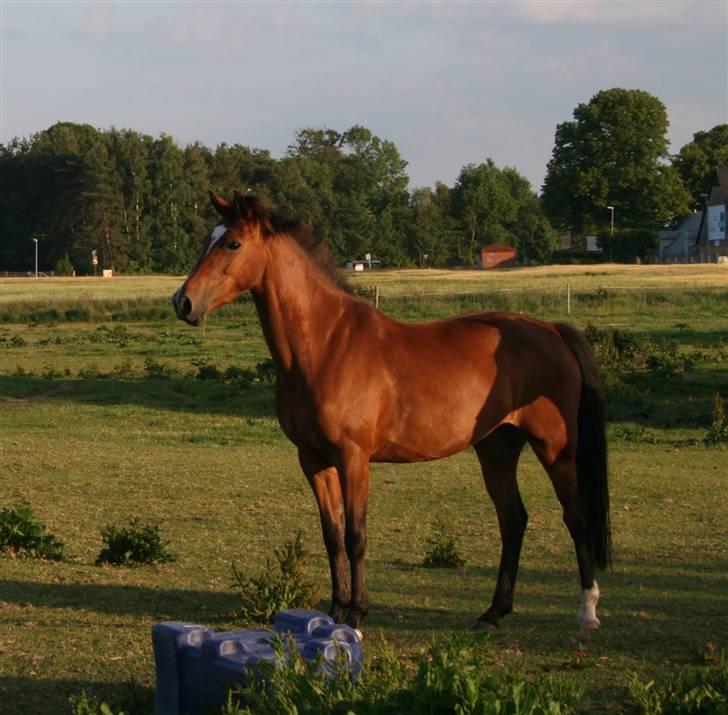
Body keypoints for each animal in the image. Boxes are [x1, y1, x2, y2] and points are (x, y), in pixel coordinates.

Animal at [173, 192, 612, 632]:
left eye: (233, 244)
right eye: (207, 239)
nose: (183, 302)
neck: (326, 344)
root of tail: (552, 330)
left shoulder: (353, 458)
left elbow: (356, 535)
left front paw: (356, 614)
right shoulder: (312, 459)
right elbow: (331, 535)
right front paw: (334, 612)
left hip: (554, 448)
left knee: (575, 516)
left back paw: (587, 610)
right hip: (497, 448)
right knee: (513, 519)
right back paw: (493, 612)